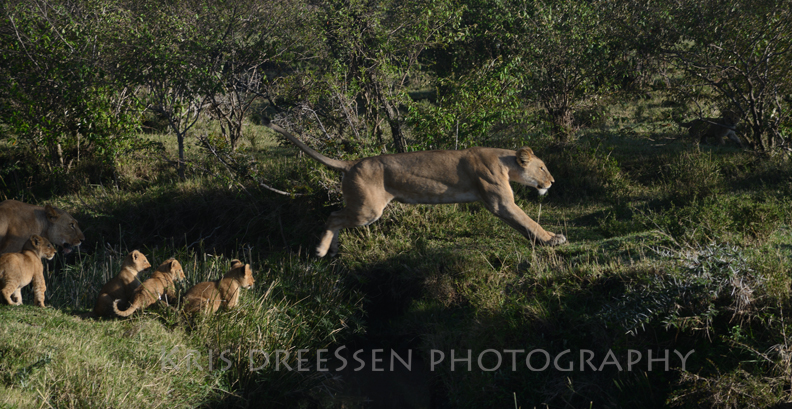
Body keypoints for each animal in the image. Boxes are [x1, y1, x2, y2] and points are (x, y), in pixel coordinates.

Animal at [265, 121, 567, 257]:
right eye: (542, 168)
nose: (553, 182)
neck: (505, 161)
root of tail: (352, 163)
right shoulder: (500, 201)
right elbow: (529, 221)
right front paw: (553, 239)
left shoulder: (500, 203)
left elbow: (523, 224)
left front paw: (543, 240)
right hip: (368, 210)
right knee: (333, 216)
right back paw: (321, 250)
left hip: (362, 208)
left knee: (336, 216)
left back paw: (333, 249)